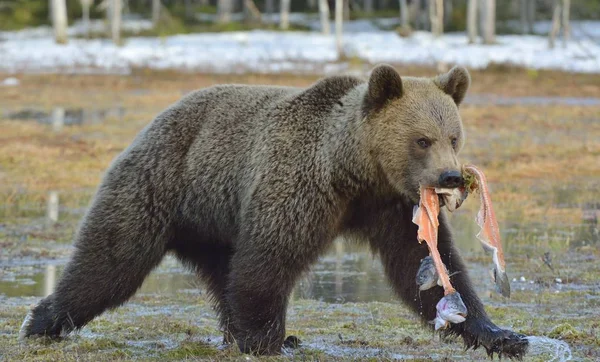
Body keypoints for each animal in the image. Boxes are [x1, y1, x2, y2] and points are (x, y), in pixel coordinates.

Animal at [18, 65, 528, 360]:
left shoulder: (391, 207)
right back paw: (43, 320)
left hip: (214, 223)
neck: (354, 172)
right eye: (422, 139)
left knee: (220, 275)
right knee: (111, 262)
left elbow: (424, 267)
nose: (450, 176)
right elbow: (269, 259)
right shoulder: (299, 186)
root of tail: (154, 122)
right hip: (162, 186)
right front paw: (268, 340)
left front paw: (501, 334)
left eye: (453, 136)